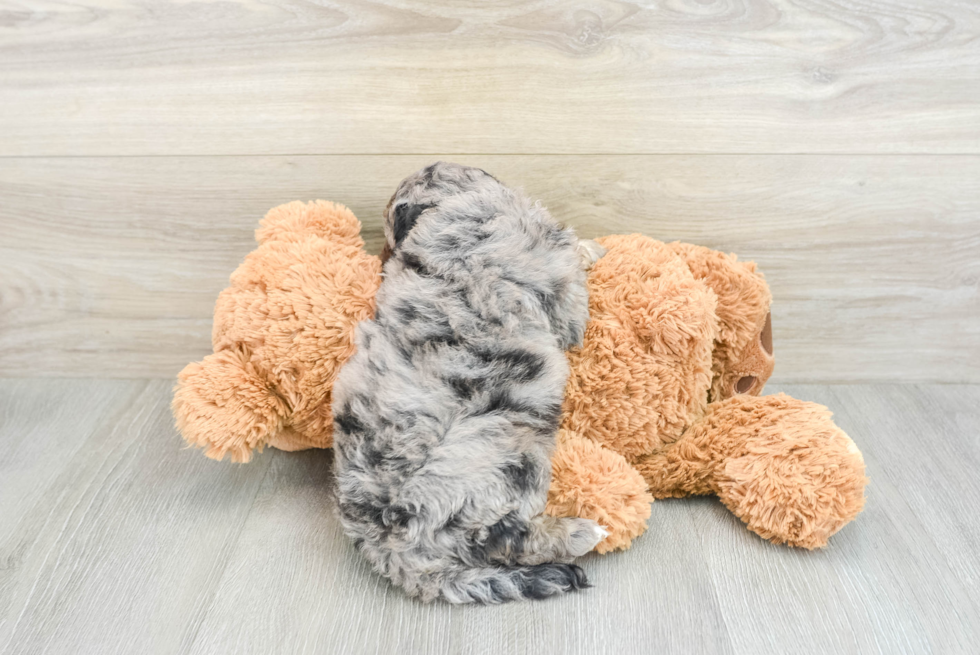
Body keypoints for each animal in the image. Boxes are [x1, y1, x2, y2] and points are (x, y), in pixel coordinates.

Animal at [332, 161, 604, 604]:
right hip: (505, 462)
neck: (446, 203)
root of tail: (386, 544)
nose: (382, 264)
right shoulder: (563, 288)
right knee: (495, 540)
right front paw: (594, 248)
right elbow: (574, 284)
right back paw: (580, 532)